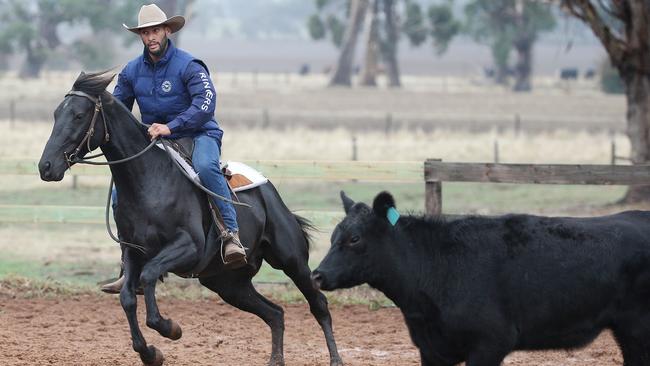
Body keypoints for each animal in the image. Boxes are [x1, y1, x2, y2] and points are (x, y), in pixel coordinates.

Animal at [38, 71, 342, 366]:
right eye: (55, 113)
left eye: (78, 115)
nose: (46, 166)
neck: (150, 180)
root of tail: (270, 194)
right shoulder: (133, 251)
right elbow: (127, 297)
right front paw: (150, 353)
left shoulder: (188, 247)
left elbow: (150, 275)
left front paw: (169, 328)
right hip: (228, 283)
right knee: (275, 313)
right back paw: (276, 359)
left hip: (291, 261)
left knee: (319, 305)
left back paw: (335, 358)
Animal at [308, 192, 648, 366]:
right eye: (334, 235)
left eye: (354, 238)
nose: (317, 275)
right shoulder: (431, 350)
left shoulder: (490, 343)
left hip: (637, 328)